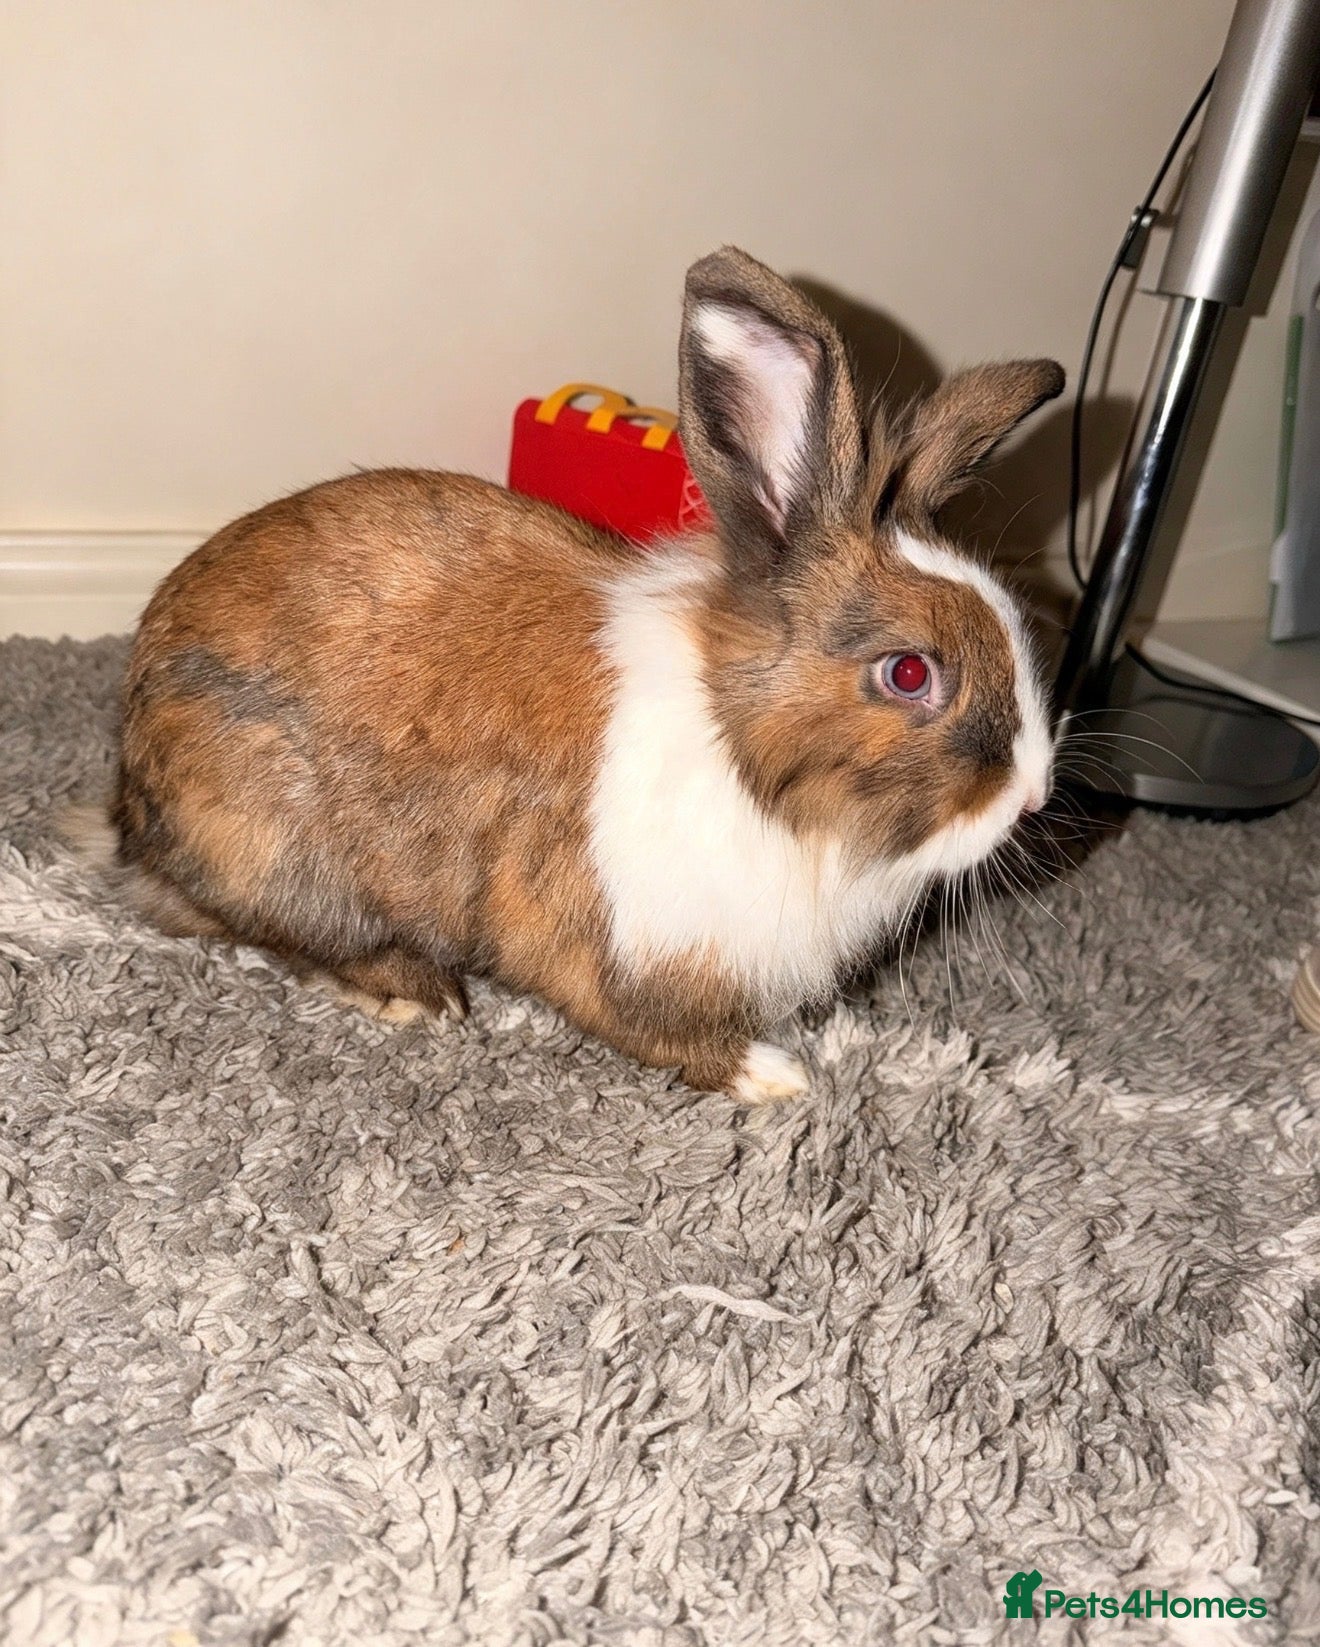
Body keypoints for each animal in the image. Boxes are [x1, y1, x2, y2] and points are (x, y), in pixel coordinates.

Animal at [109, 246, 1063, 1102]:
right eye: (909, 673)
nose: (1034, 796)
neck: (743, 754)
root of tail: (130, 801)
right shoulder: (611, 940)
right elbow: (649, 1027)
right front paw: (776, 1077)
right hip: (276, 848)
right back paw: (416, 992)